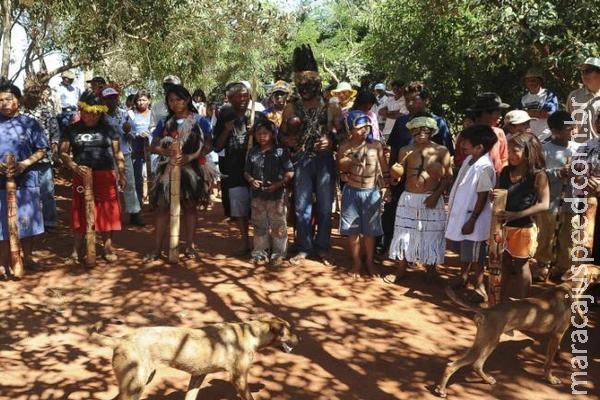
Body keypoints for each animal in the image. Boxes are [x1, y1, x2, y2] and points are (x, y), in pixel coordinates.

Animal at [90, 314, 298, 400]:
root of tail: (120, 339)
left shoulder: (198, 376)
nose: (301, 338)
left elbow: (190, 396)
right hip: (135, 387)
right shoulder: (238, 378)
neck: (250, 332)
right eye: (290, 330)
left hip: (134, 384)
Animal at [436, 264, 600, 398]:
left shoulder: (554, 336)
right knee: (452, 365)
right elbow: (548, 363)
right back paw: (442, 390)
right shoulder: (557, 335)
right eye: (598, 269)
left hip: (489, 342)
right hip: (485, 343)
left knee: (476, 365)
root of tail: (486, 311)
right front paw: (551, 378)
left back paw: (487, 380)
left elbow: (553, 355)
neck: (570, 287)